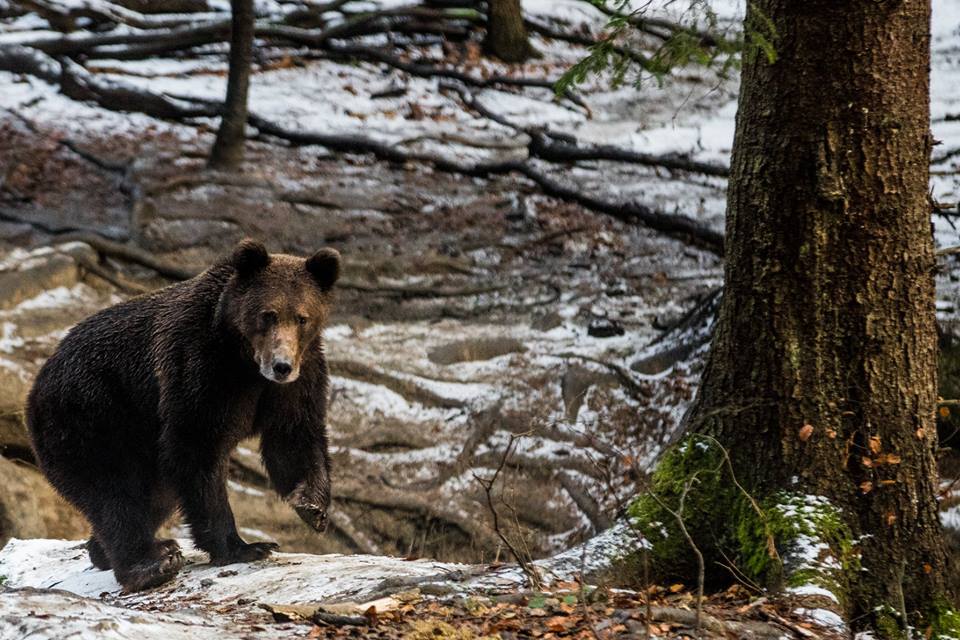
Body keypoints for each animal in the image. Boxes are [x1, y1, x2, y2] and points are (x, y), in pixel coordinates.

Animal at [26, 239, 340, 592]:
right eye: (267, 315)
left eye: (302, 318)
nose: (281, 365)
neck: (244, 359)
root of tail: (38, 382)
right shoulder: (198, 367)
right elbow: (197, 449)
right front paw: (244, 546)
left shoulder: (298, 377)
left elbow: (294, 436)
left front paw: (312, 507)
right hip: (93, 415)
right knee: (115, 493)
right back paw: (151, 563)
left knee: (153, 497)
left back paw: (111, 551)